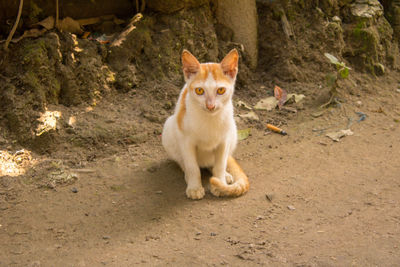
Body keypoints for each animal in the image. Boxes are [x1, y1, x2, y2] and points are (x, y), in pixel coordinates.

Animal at [161, 48, 248, 200]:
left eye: (221, 90)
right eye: (199, 90)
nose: (210, 106)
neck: (210, 119)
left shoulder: (225, 140)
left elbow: (220, 164)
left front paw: (220, 183)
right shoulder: (186, 140)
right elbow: (192, 167)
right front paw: (195, 187)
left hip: (233, 130)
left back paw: (225, 176)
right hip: (169, 127)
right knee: (184, 161)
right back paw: (187, 175)